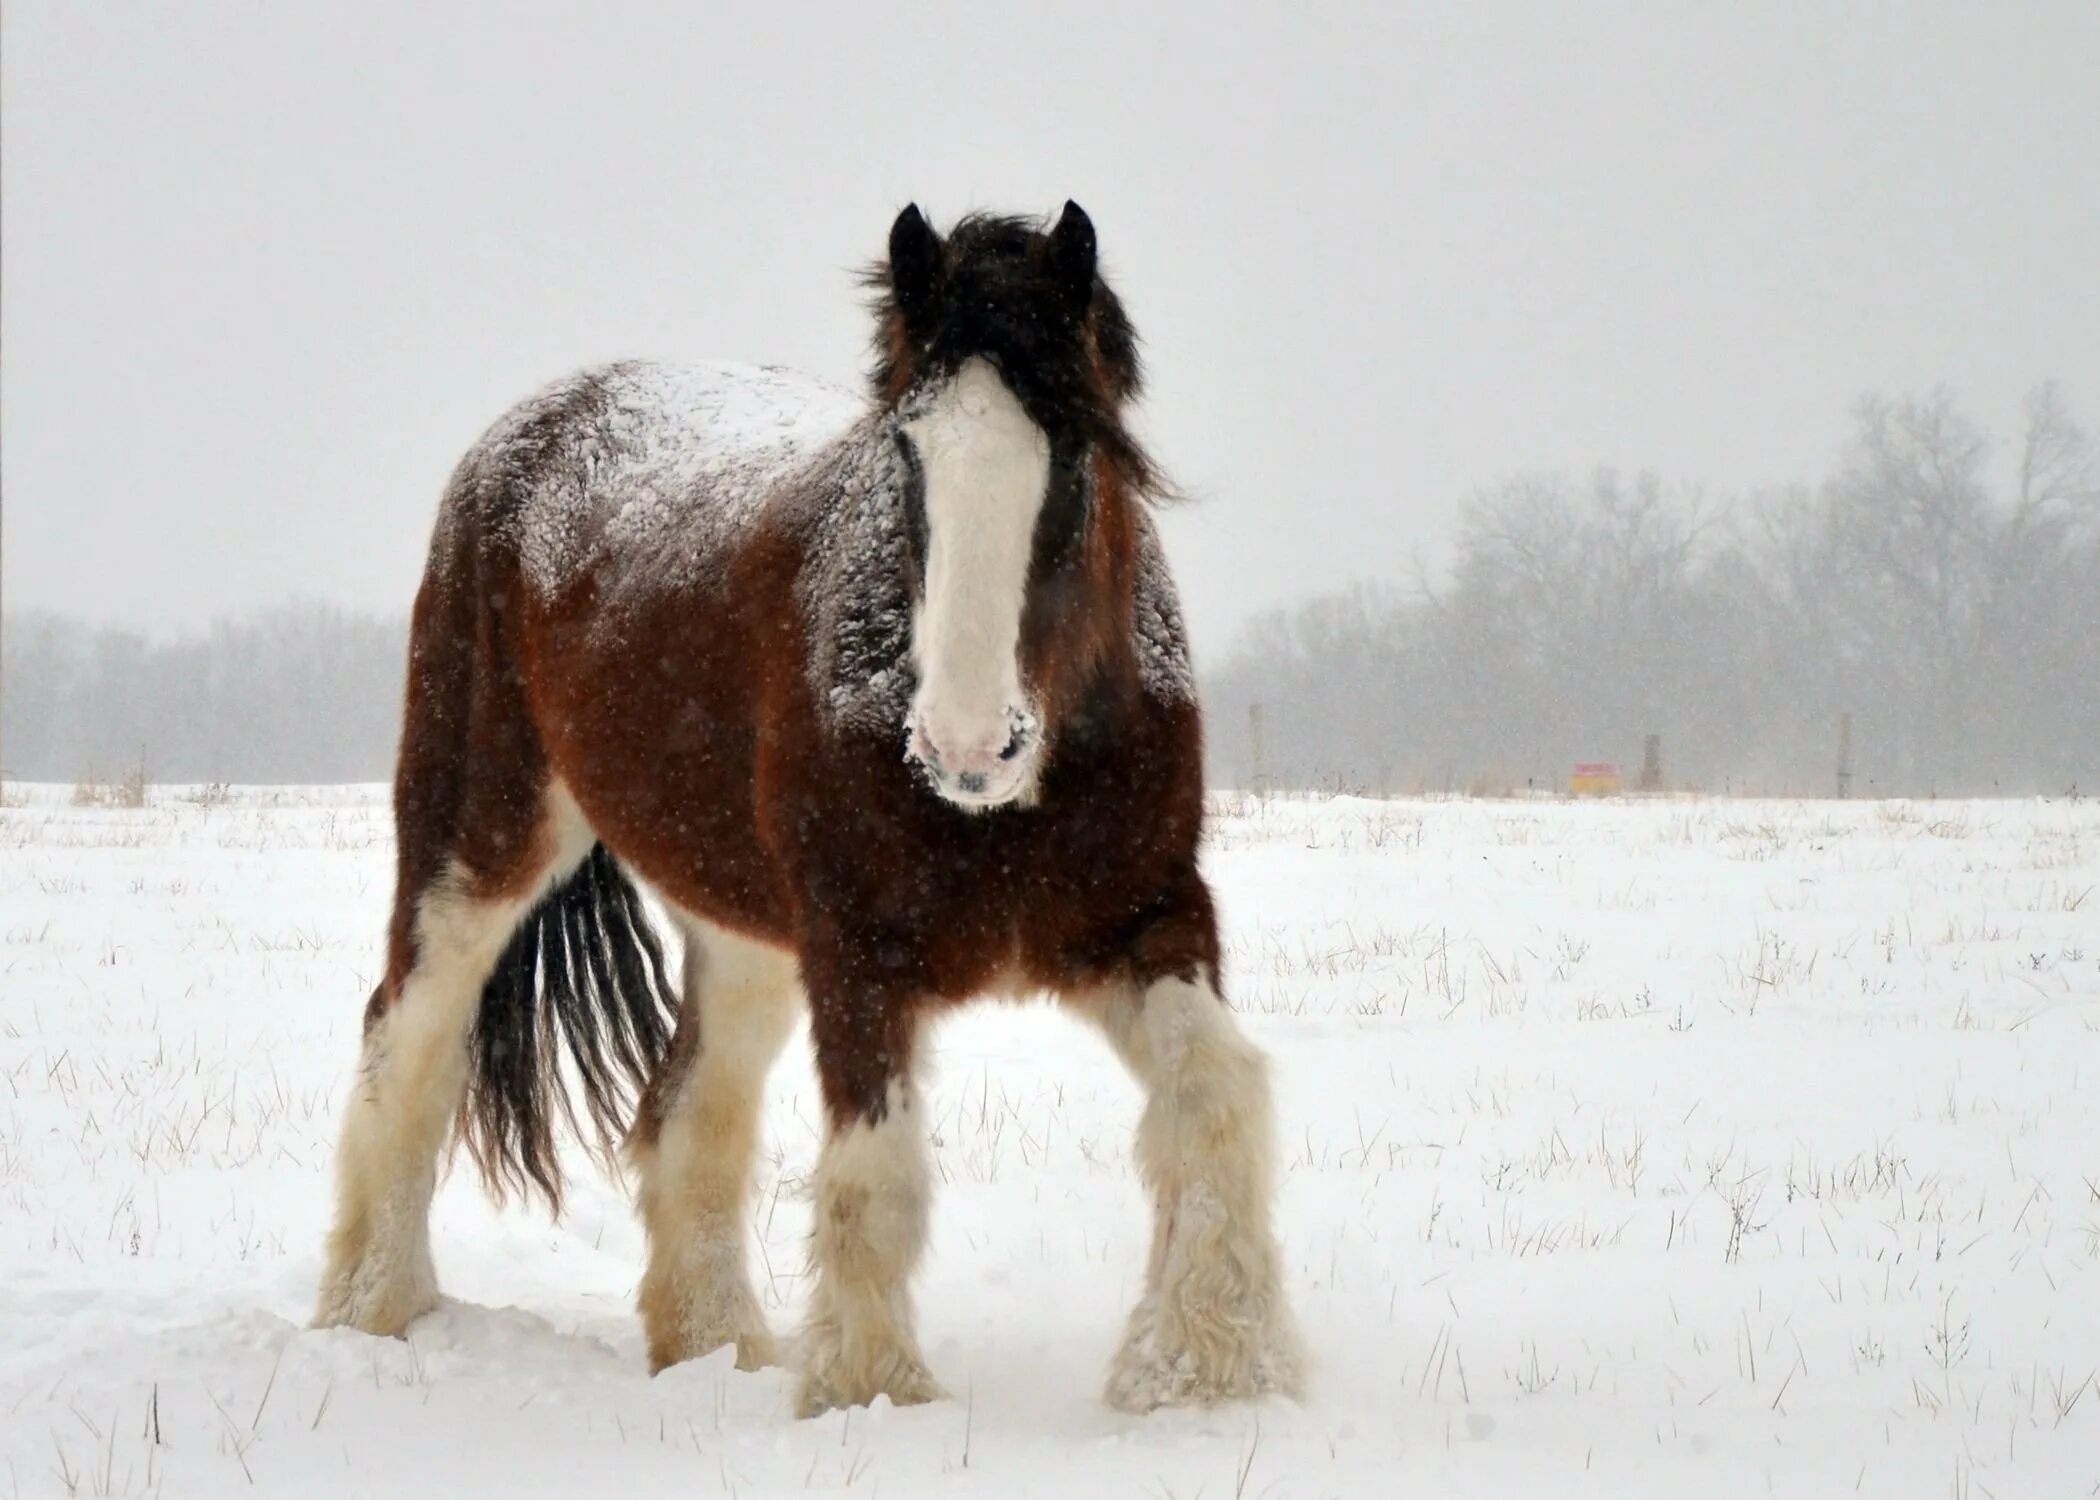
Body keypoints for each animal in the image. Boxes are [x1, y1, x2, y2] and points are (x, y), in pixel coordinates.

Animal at [315, 198, 1293, 1411]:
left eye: (1075, 455)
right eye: (907, 453)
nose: (967, 745)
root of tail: (529, 428)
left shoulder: (1143, 919)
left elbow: (1218, 1095)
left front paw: (1201, 1366)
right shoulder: (857, 953)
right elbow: (876, 1177)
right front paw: (874, 1392)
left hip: (740, 930)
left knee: (685, 1115)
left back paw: (716, 1349)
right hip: (477, 840)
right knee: (406, 1048)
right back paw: (372, 1313)